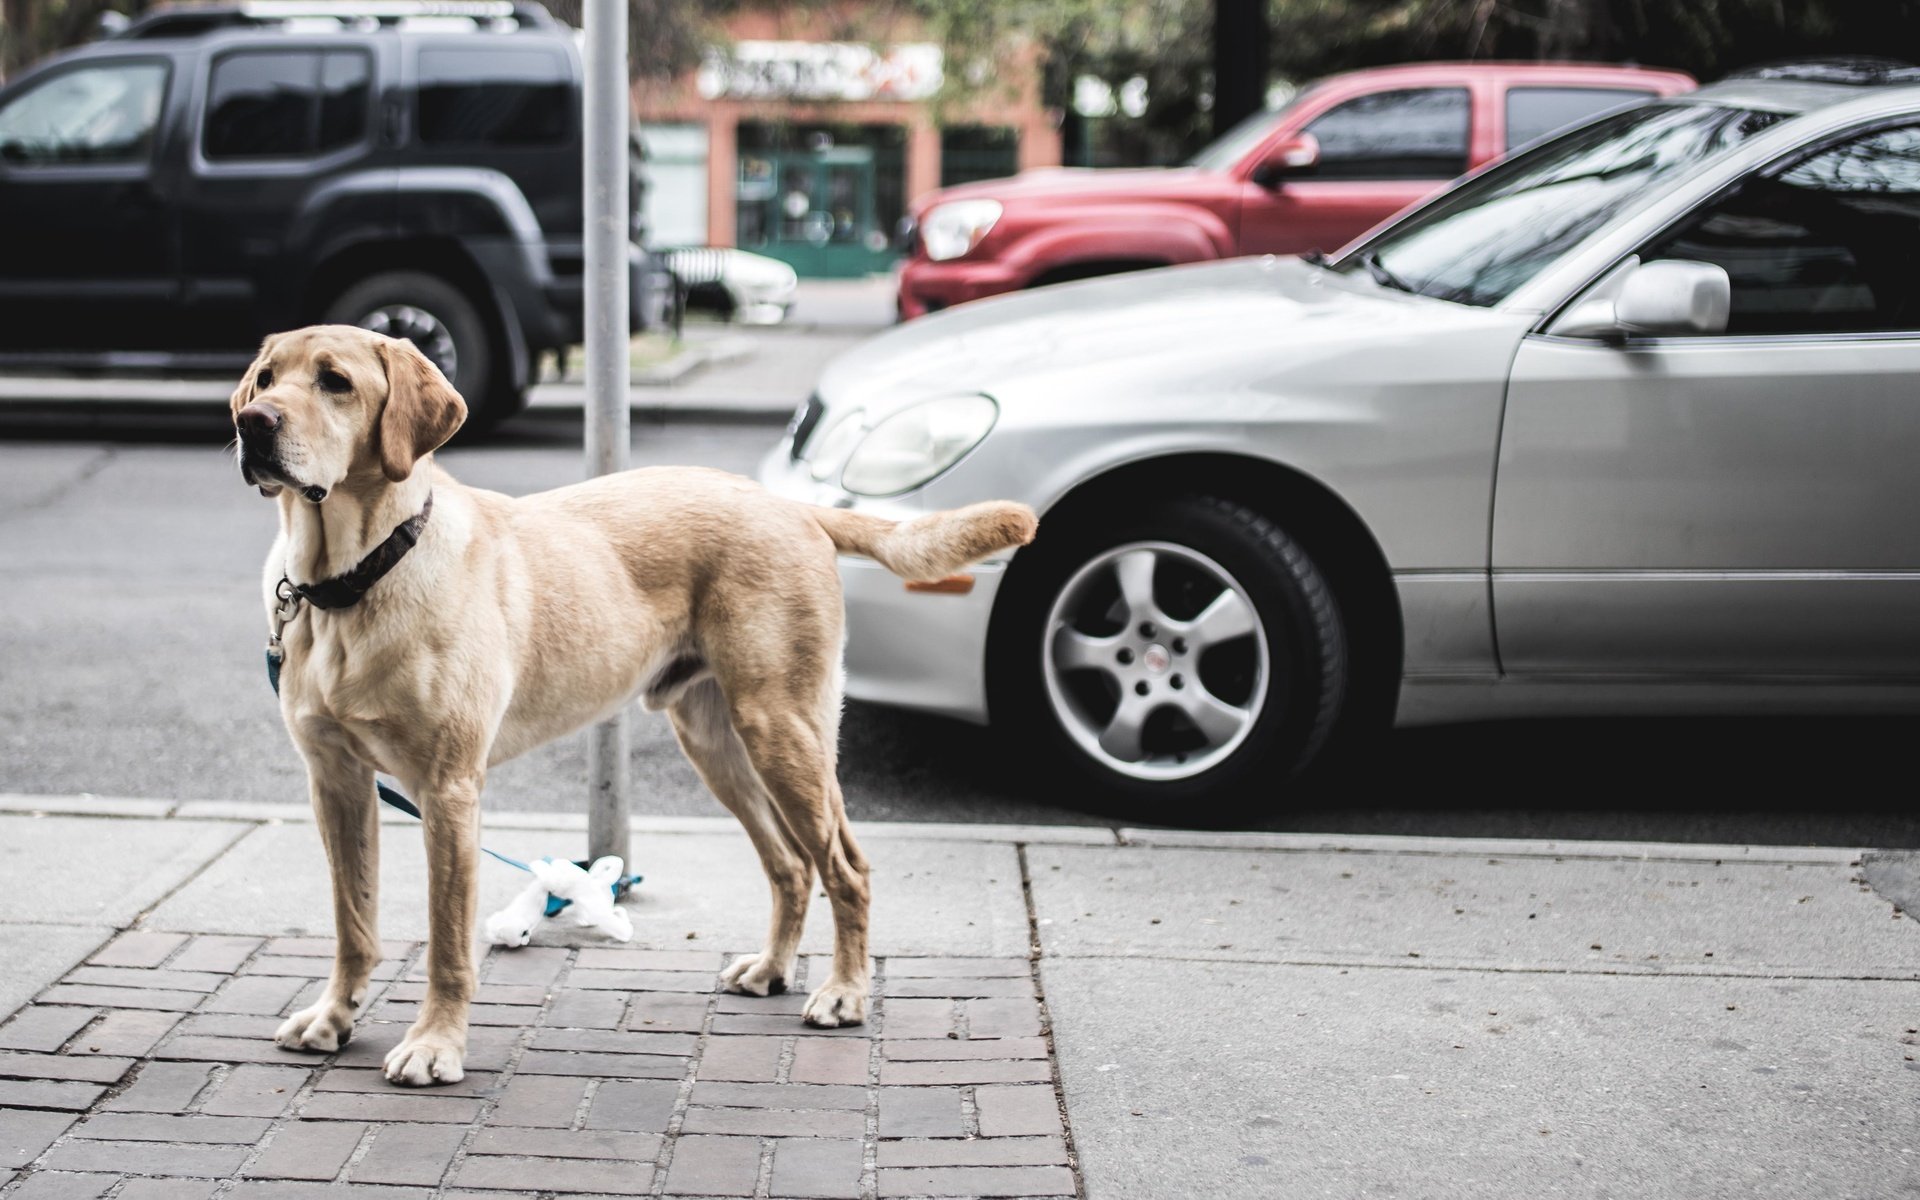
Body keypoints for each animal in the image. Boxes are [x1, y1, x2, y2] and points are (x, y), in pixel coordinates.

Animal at [234, 328, 1044, 1082]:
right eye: (266, 378)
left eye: (336, 382)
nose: (251, 422)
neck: (350, 582)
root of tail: (790, 505)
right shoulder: (337, 783)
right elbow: (353, 920)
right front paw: (334, 1016)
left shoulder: (449, 790)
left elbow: (446, 940)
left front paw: (435, 1045)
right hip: (719, 742)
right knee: (790, 865)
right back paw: (773, 969)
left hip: (785, 730)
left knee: (846, 866)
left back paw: (845, 992)